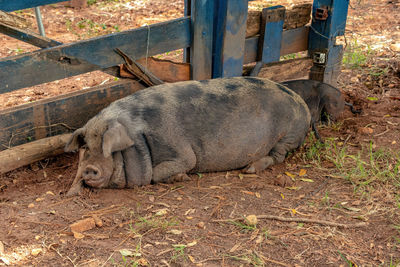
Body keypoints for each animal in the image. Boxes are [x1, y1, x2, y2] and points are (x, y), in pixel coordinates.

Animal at [64, 76, 310, 195]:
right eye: (86, 147)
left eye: (109, 148)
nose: (89, 168)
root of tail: (303, 104)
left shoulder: (183, 153)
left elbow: (161, 171)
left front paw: (183, 178)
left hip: (288, 135)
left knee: (278, 156)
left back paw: (250, 169)